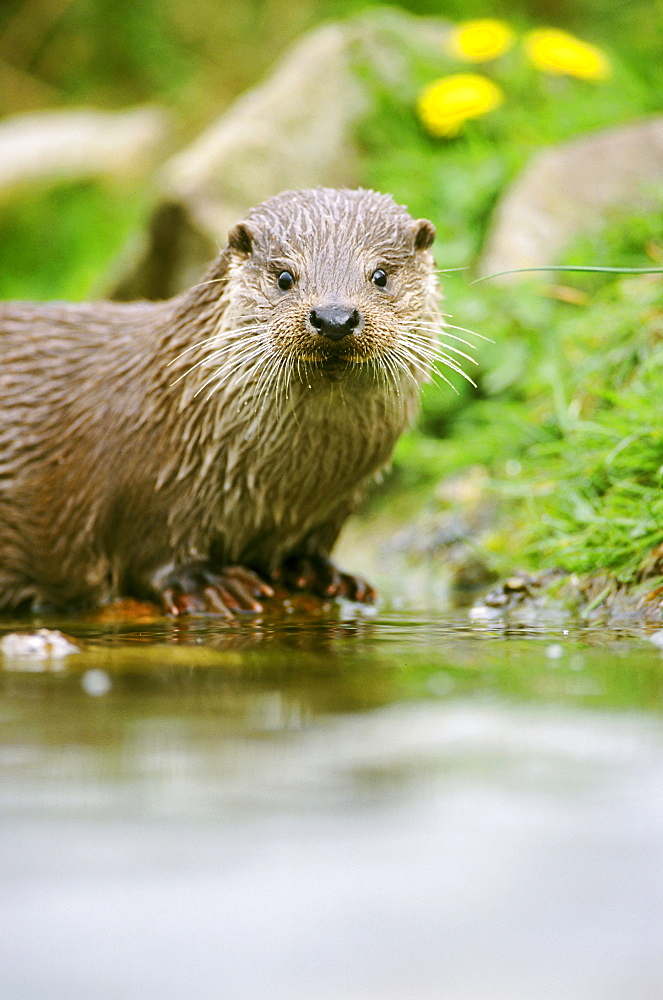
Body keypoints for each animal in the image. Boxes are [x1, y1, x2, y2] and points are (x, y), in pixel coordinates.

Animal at [0, 184, 452, 612]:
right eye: (284, 277)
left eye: (380, 275)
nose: (334, 317)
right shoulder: (143, 495)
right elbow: (146, 555)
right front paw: (206, 582)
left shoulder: (333, 504)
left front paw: (320, 573)